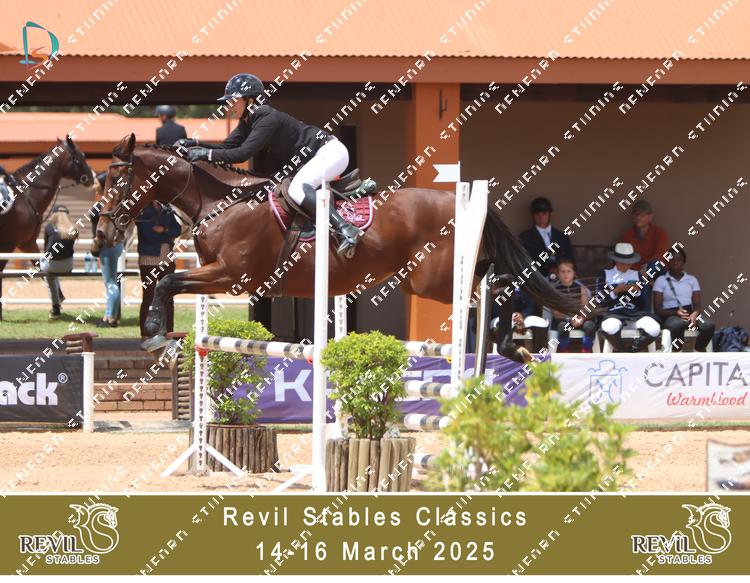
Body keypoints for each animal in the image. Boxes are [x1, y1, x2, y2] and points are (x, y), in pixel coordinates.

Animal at [96, 134, 579, 362]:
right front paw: (156, 337)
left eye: (118, 180)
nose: (101, 233)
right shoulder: (217, 272)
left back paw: (511, 343)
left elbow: (168, 282)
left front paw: (155, 337)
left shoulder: (233, 276)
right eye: (101, 178)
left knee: (493, 284)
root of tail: (456, 200)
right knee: (496, 279)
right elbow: (165, 281)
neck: (222, 200)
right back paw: (512, 344)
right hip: (424, 279)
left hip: (433, 280)